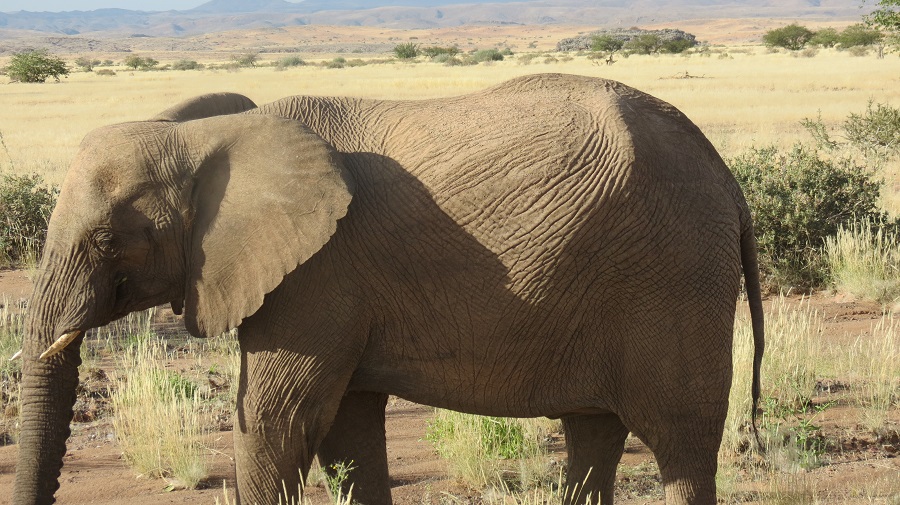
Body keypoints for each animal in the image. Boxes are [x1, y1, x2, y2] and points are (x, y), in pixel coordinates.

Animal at [12, 72, 760, 504]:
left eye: (106, 240)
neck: (208, 137)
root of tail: (726, 176)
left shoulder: (317, 274)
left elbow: (279, 420)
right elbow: (347, 433)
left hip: (674, 274)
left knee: (681, 445)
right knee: (594, 435)